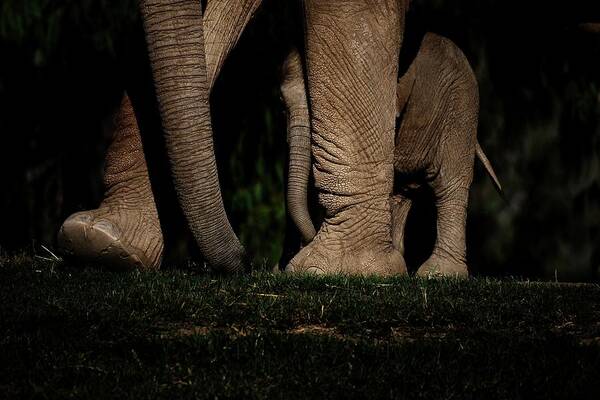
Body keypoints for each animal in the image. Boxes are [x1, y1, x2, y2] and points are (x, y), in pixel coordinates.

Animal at [284, 32, 500, 278]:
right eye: (282, 106)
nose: (308, 237)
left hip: (462, 108)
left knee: (448, 184)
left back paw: (438, 273)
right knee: (403, 191)